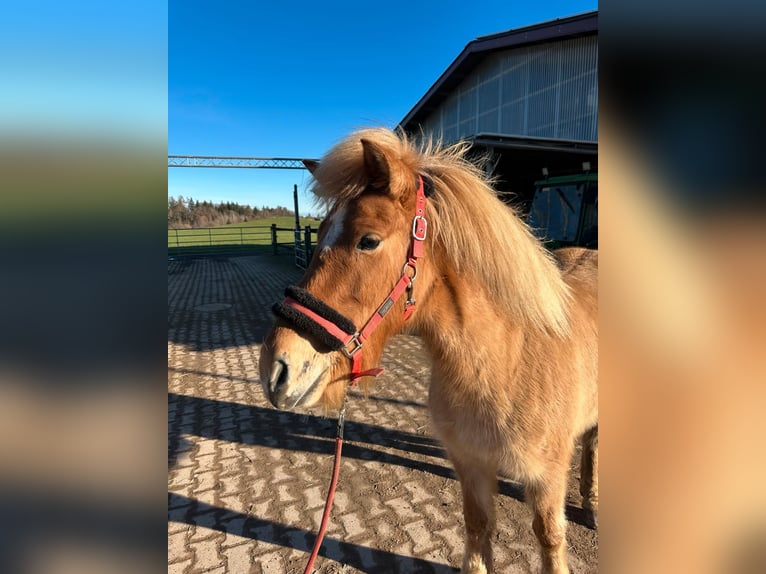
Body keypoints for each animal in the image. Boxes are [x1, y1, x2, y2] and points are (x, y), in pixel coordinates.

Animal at [259, 127, 598, 574]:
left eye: (369, 241)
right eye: (320, 233)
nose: (276, 369)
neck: (505, 362)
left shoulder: (547, 479)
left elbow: (550, 539)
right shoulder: (470, 465)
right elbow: (477, 528)